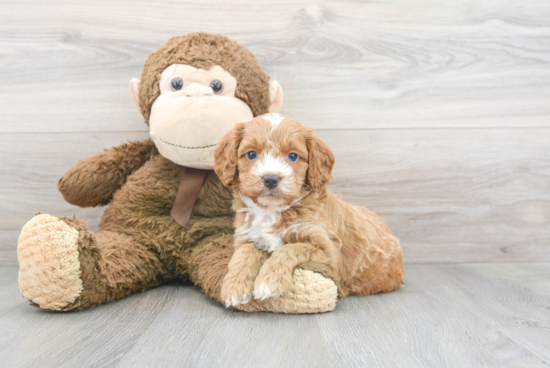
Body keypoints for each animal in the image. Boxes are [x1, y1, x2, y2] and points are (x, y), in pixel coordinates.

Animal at [213, 113, 404, 308]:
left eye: (293, 156)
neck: (272, 211)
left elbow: (290, 248)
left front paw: (269, 281)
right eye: (251, 154)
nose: (271, 179)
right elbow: (244, 252)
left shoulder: (328, 251)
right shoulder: (247, 236)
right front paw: (234, 287)